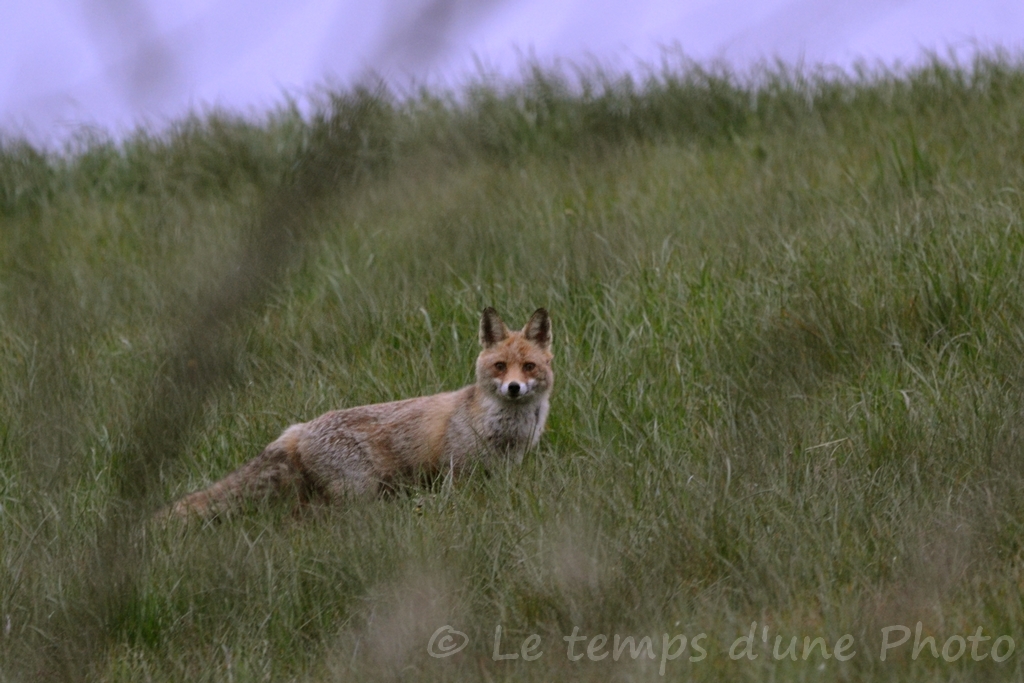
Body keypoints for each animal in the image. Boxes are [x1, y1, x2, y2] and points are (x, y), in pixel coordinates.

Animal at [167, 307, 552, 520]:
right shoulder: (456, 475)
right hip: (356, 493)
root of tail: (298, 428)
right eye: (500, 366)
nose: (513, 388)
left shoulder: (502, 473)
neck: (504, 430)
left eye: (528, 367)